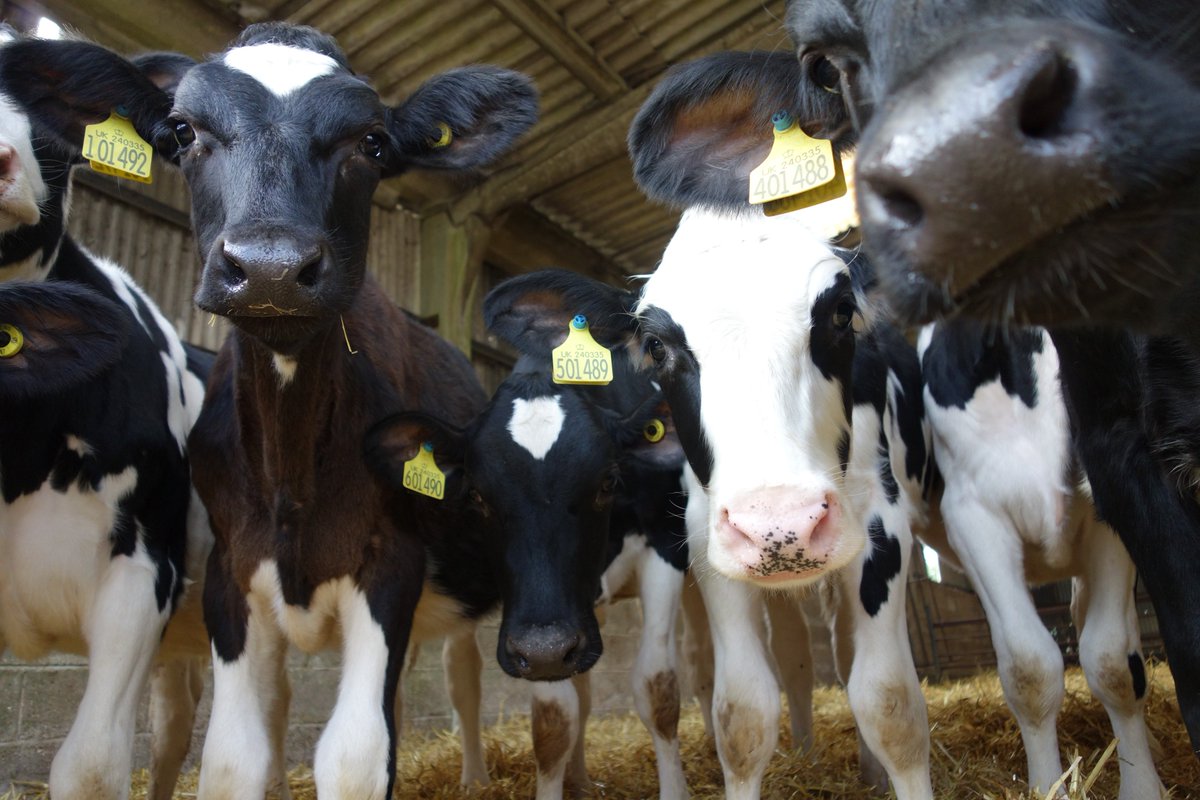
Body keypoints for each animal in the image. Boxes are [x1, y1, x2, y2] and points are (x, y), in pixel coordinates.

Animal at [779, 0, 1200, 758]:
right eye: (826, 64)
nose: (971, 163)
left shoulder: (1111, 498)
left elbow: (1112, 661)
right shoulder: (982, 515)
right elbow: (1031, 667)